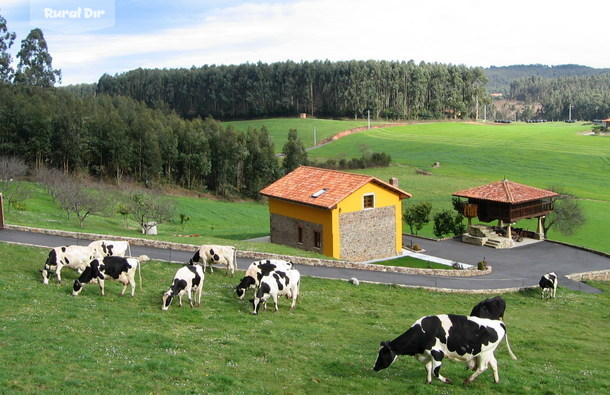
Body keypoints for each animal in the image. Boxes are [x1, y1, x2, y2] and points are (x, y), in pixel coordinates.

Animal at [370, 314, 512, 386]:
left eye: (383, 354)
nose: (375, 368)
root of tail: (498, 322)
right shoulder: (426, 354)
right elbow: (428, 368)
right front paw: (428, 381)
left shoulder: (437, 353)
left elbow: (435, 371)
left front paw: (447, 380)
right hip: (488, 353)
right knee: (494, 364)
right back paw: (496, 381)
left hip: (484, 353)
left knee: (482, 368)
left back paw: (468, 380)